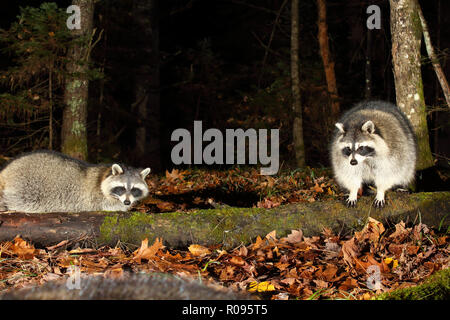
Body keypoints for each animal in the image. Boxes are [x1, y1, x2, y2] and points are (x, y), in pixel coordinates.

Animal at [0, 150, 151, 212]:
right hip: (27, 184)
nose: (127, 202)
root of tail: (6, 169)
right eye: (121, 188)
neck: (104, 174)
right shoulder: (96, 198)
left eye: (134, 189)